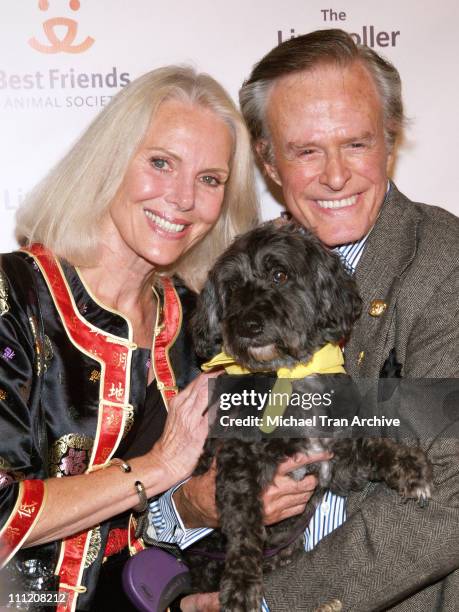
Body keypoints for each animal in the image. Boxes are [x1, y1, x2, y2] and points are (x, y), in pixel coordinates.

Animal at [185, 224, 434, 612]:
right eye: (233, 287)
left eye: (279, 275)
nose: (247, 325)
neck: (289, 375)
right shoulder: (239, 462)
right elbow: (244, 521)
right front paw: (241, 584)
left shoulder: (338, 465)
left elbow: (373, 444)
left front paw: (409, 467)